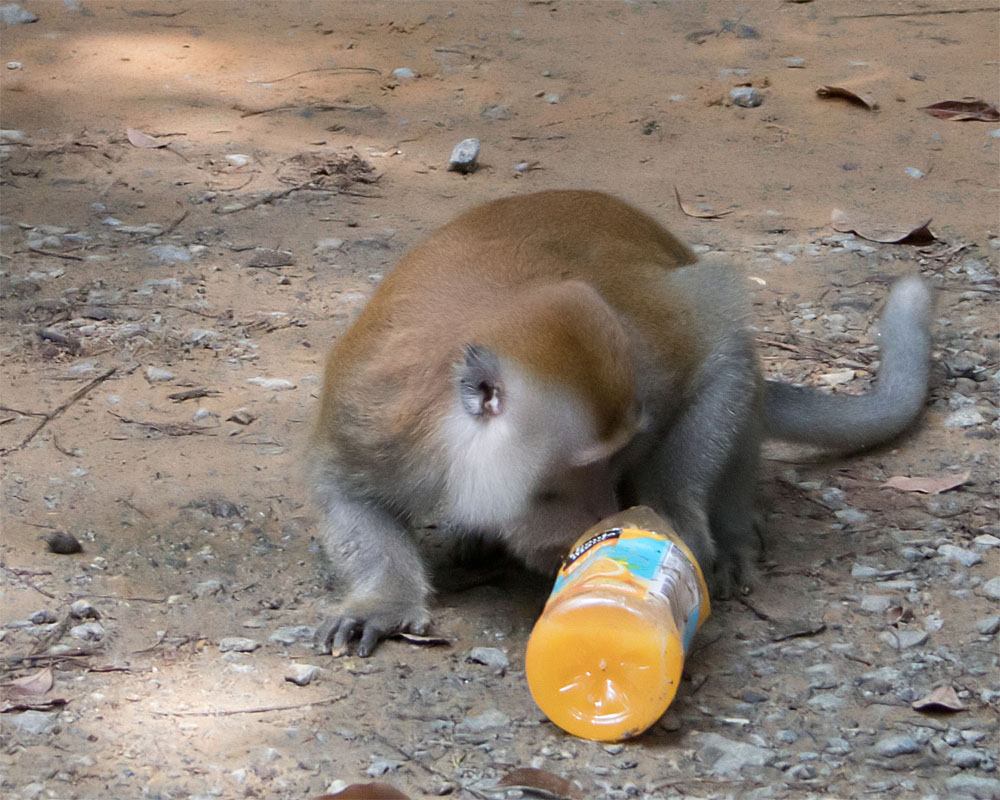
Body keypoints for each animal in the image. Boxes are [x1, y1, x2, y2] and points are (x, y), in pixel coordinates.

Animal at [307, 190, 931, 657]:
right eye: (565, 479)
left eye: (619, 459)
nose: (600, 515)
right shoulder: (378, 419)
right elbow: (348, 490)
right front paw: (383, 602)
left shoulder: (647, 358)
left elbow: (722, 357)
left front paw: (672, 529)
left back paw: (732, 535)